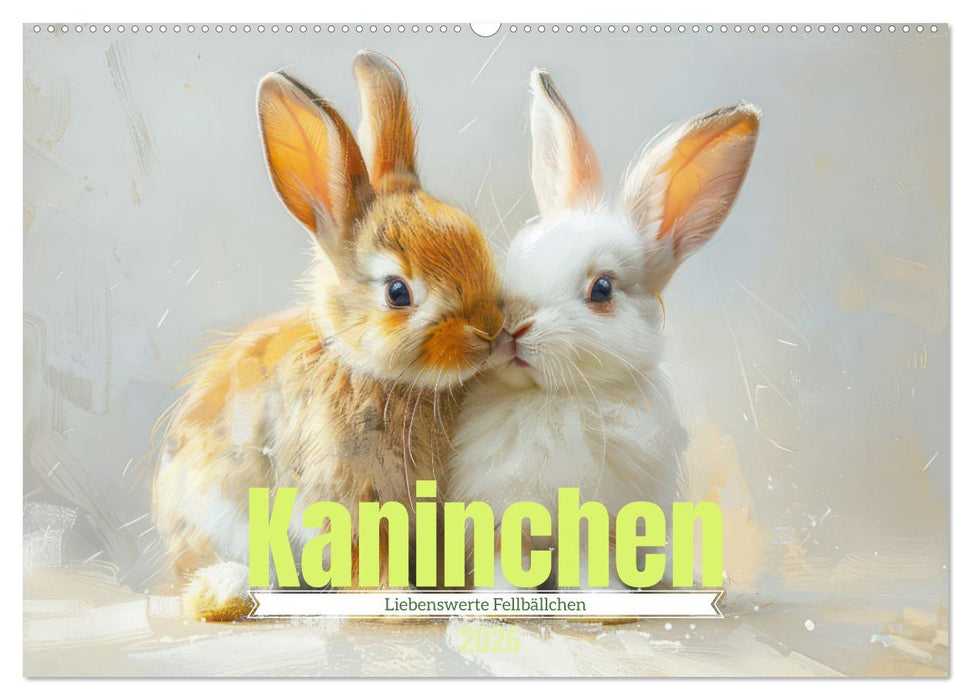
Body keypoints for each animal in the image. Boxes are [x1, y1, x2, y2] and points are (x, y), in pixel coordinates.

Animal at [152, 51, 503, 621]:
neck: (375, 376)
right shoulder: (345, 496)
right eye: (398, 293)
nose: (491, 332)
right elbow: (364, 555)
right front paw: (390, 603)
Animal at [449, 68, 760, 589]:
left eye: (602, 289)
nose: (512, 324)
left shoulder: (600, 524)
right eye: (515, 256)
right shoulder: (500, 521)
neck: (551, 399)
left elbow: (590, 566)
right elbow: (505, 566)